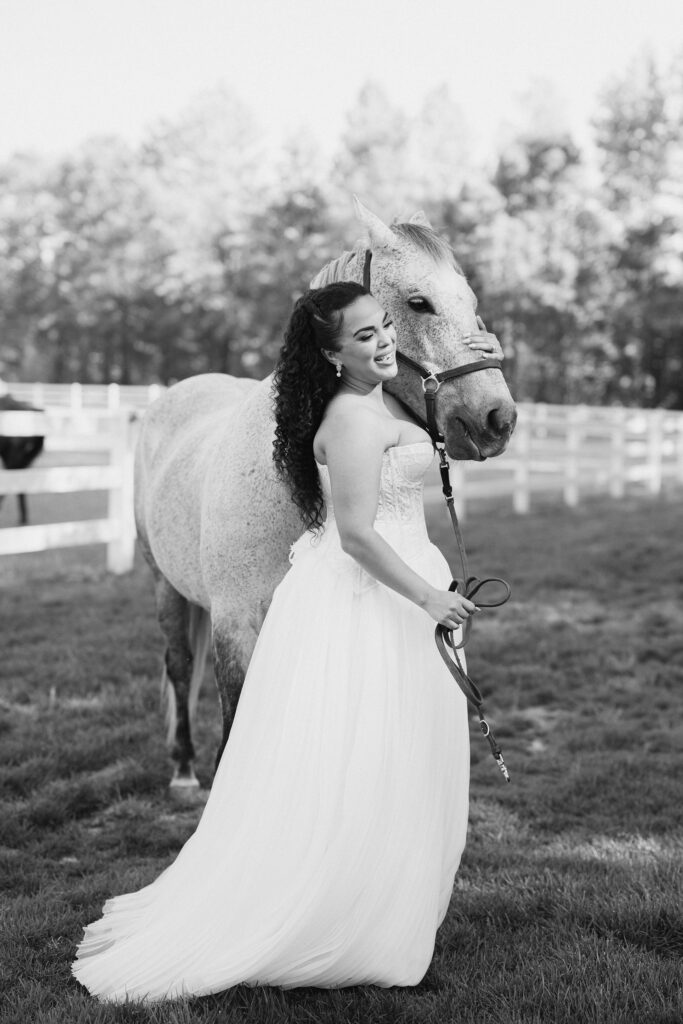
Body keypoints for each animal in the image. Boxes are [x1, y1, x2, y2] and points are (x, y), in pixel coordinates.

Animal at [134, 199, 518, 792]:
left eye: (472, 304)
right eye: (418, 302)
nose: (498, 419)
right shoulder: (234, 627)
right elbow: (232, 732)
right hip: (164, 586)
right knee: (178, 667)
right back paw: (181, 768)